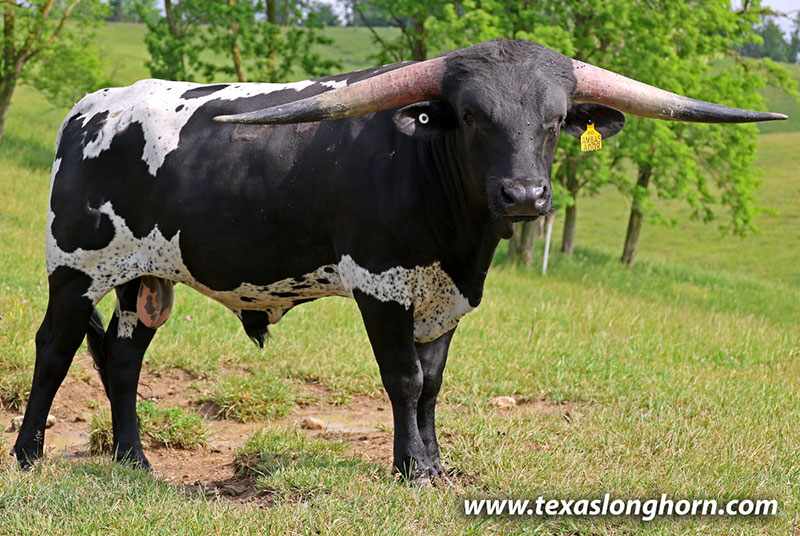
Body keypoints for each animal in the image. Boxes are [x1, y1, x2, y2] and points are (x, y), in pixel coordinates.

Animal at [14, 40, 786, 482]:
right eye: (472, 116)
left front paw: (434, 464)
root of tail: (92, 105)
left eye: (553, 121)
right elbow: (405, 380)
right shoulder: (380, 285)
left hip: (143, 276)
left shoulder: (447, 296)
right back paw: (28, 456)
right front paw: (411, 470)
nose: (525, 196)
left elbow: (434, 383)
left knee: (122, 357)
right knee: (54, 348)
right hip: (75, 267)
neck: (458, 233)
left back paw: (135, 462)